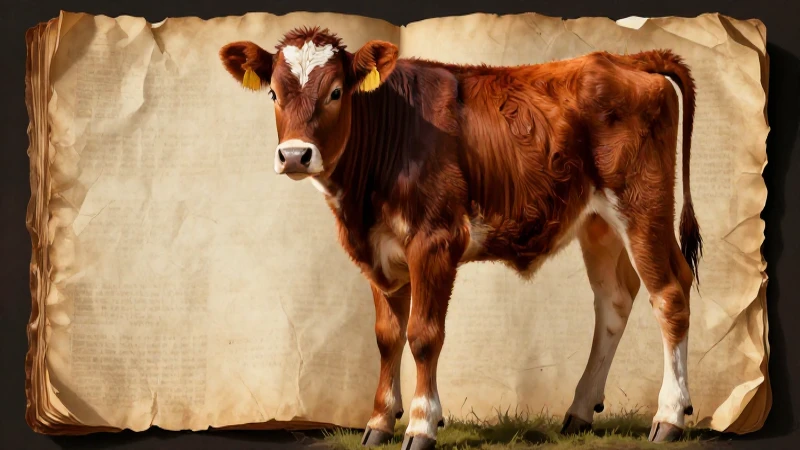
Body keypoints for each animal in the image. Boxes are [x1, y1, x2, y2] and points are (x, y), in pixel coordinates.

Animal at [219, 26, 702, 449]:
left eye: (336, 92)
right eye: (273, 93)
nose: (294, 155)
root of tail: (623, 59)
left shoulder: (435, 241)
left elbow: (423, 334)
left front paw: (421, 424)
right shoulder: (377, 252)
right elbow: (387, 336)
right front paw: (379, 422)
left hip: (643, 206)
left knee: (670, 295)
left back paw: (669, 416)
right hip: (599, 224)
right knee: (615, 301)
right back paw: (580, 411)